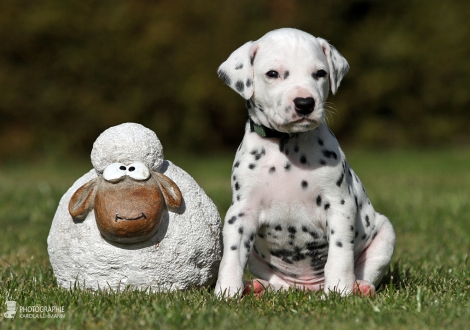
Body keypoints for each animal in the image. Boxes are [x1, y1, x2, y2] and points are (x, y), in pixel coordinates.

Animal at [215, 27, 394, 298]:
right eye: (273, 74)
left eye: (320, 73)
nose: (305, 103)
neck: (285, 145)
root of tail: (306, 288)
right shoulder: (241, 212)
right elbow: (233, 256)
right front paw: (226, 292)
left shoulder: (339, 206)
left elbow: (339, 255)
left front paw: (338, 292)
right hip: (260, 260)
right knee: (276, 283)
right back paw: (257, 287)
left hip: (385, 235)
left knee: (369, 268)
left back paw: (360, 287)